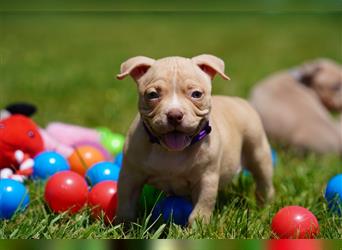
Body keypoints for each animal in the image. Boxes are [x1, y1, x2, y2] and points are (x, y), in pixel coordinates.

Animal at [116, 54, 274, 225]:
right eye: (152, 95)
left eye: (196, 94)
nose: (174, 115)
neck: (171, 151)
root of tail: (237, 100)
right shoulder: (130, 175)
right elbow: (125, 204)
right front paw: (123, 225)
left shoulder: (206, 179)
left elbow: (201, 208)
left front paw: (198, 227)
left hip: (258, 151)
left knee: (263, 180)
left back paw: (265, 206)